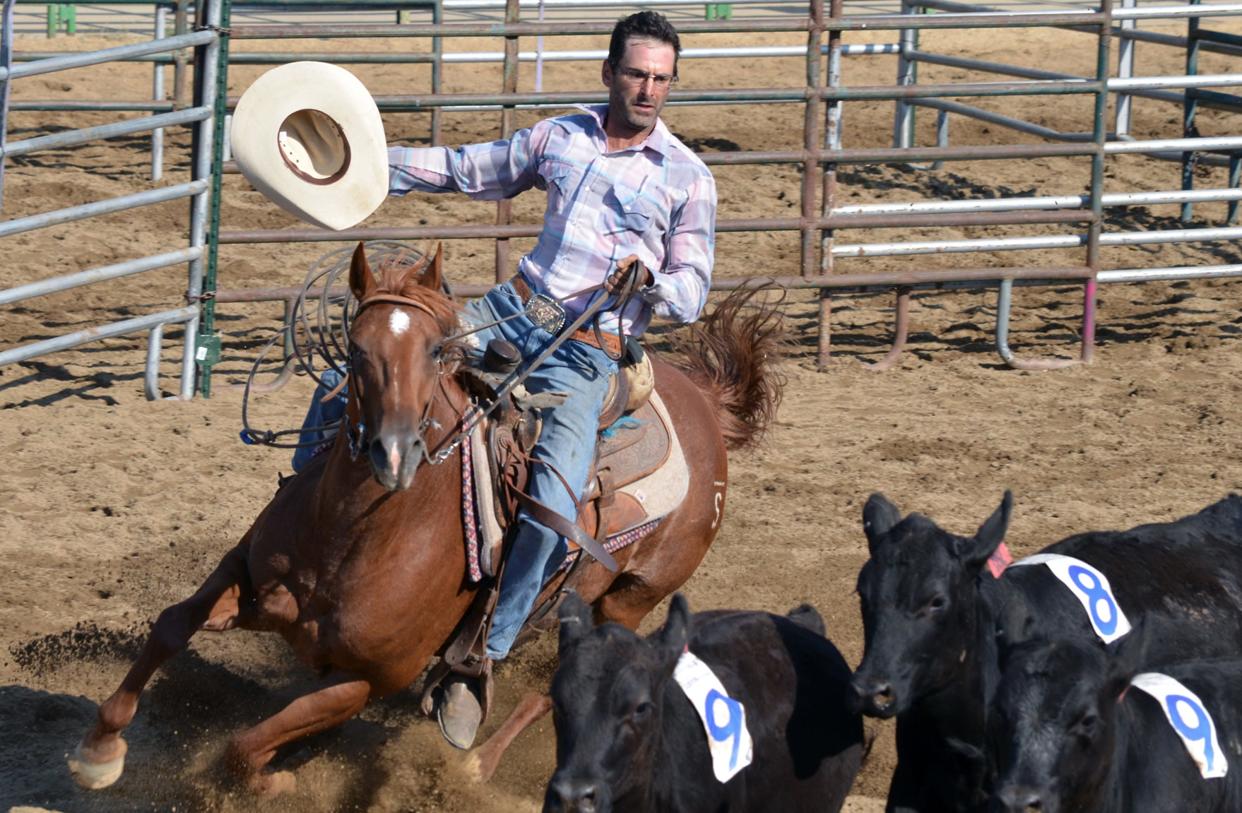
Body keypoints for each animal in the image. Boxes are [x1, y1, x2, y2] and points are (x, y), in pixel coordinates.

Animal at [67, 244, 784, 799]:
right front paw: (100, 750)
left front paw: (279, 778)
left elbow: (243, 750)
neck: (353, 539)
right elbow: (171, 624)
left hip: (631, 597)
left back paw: (474, 764)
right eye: (356, 348)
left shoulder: (366, 678)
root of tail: (705, 398)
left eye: (439, 350)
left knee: (566, 682)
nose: (393, 452)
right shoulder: (245, 573)